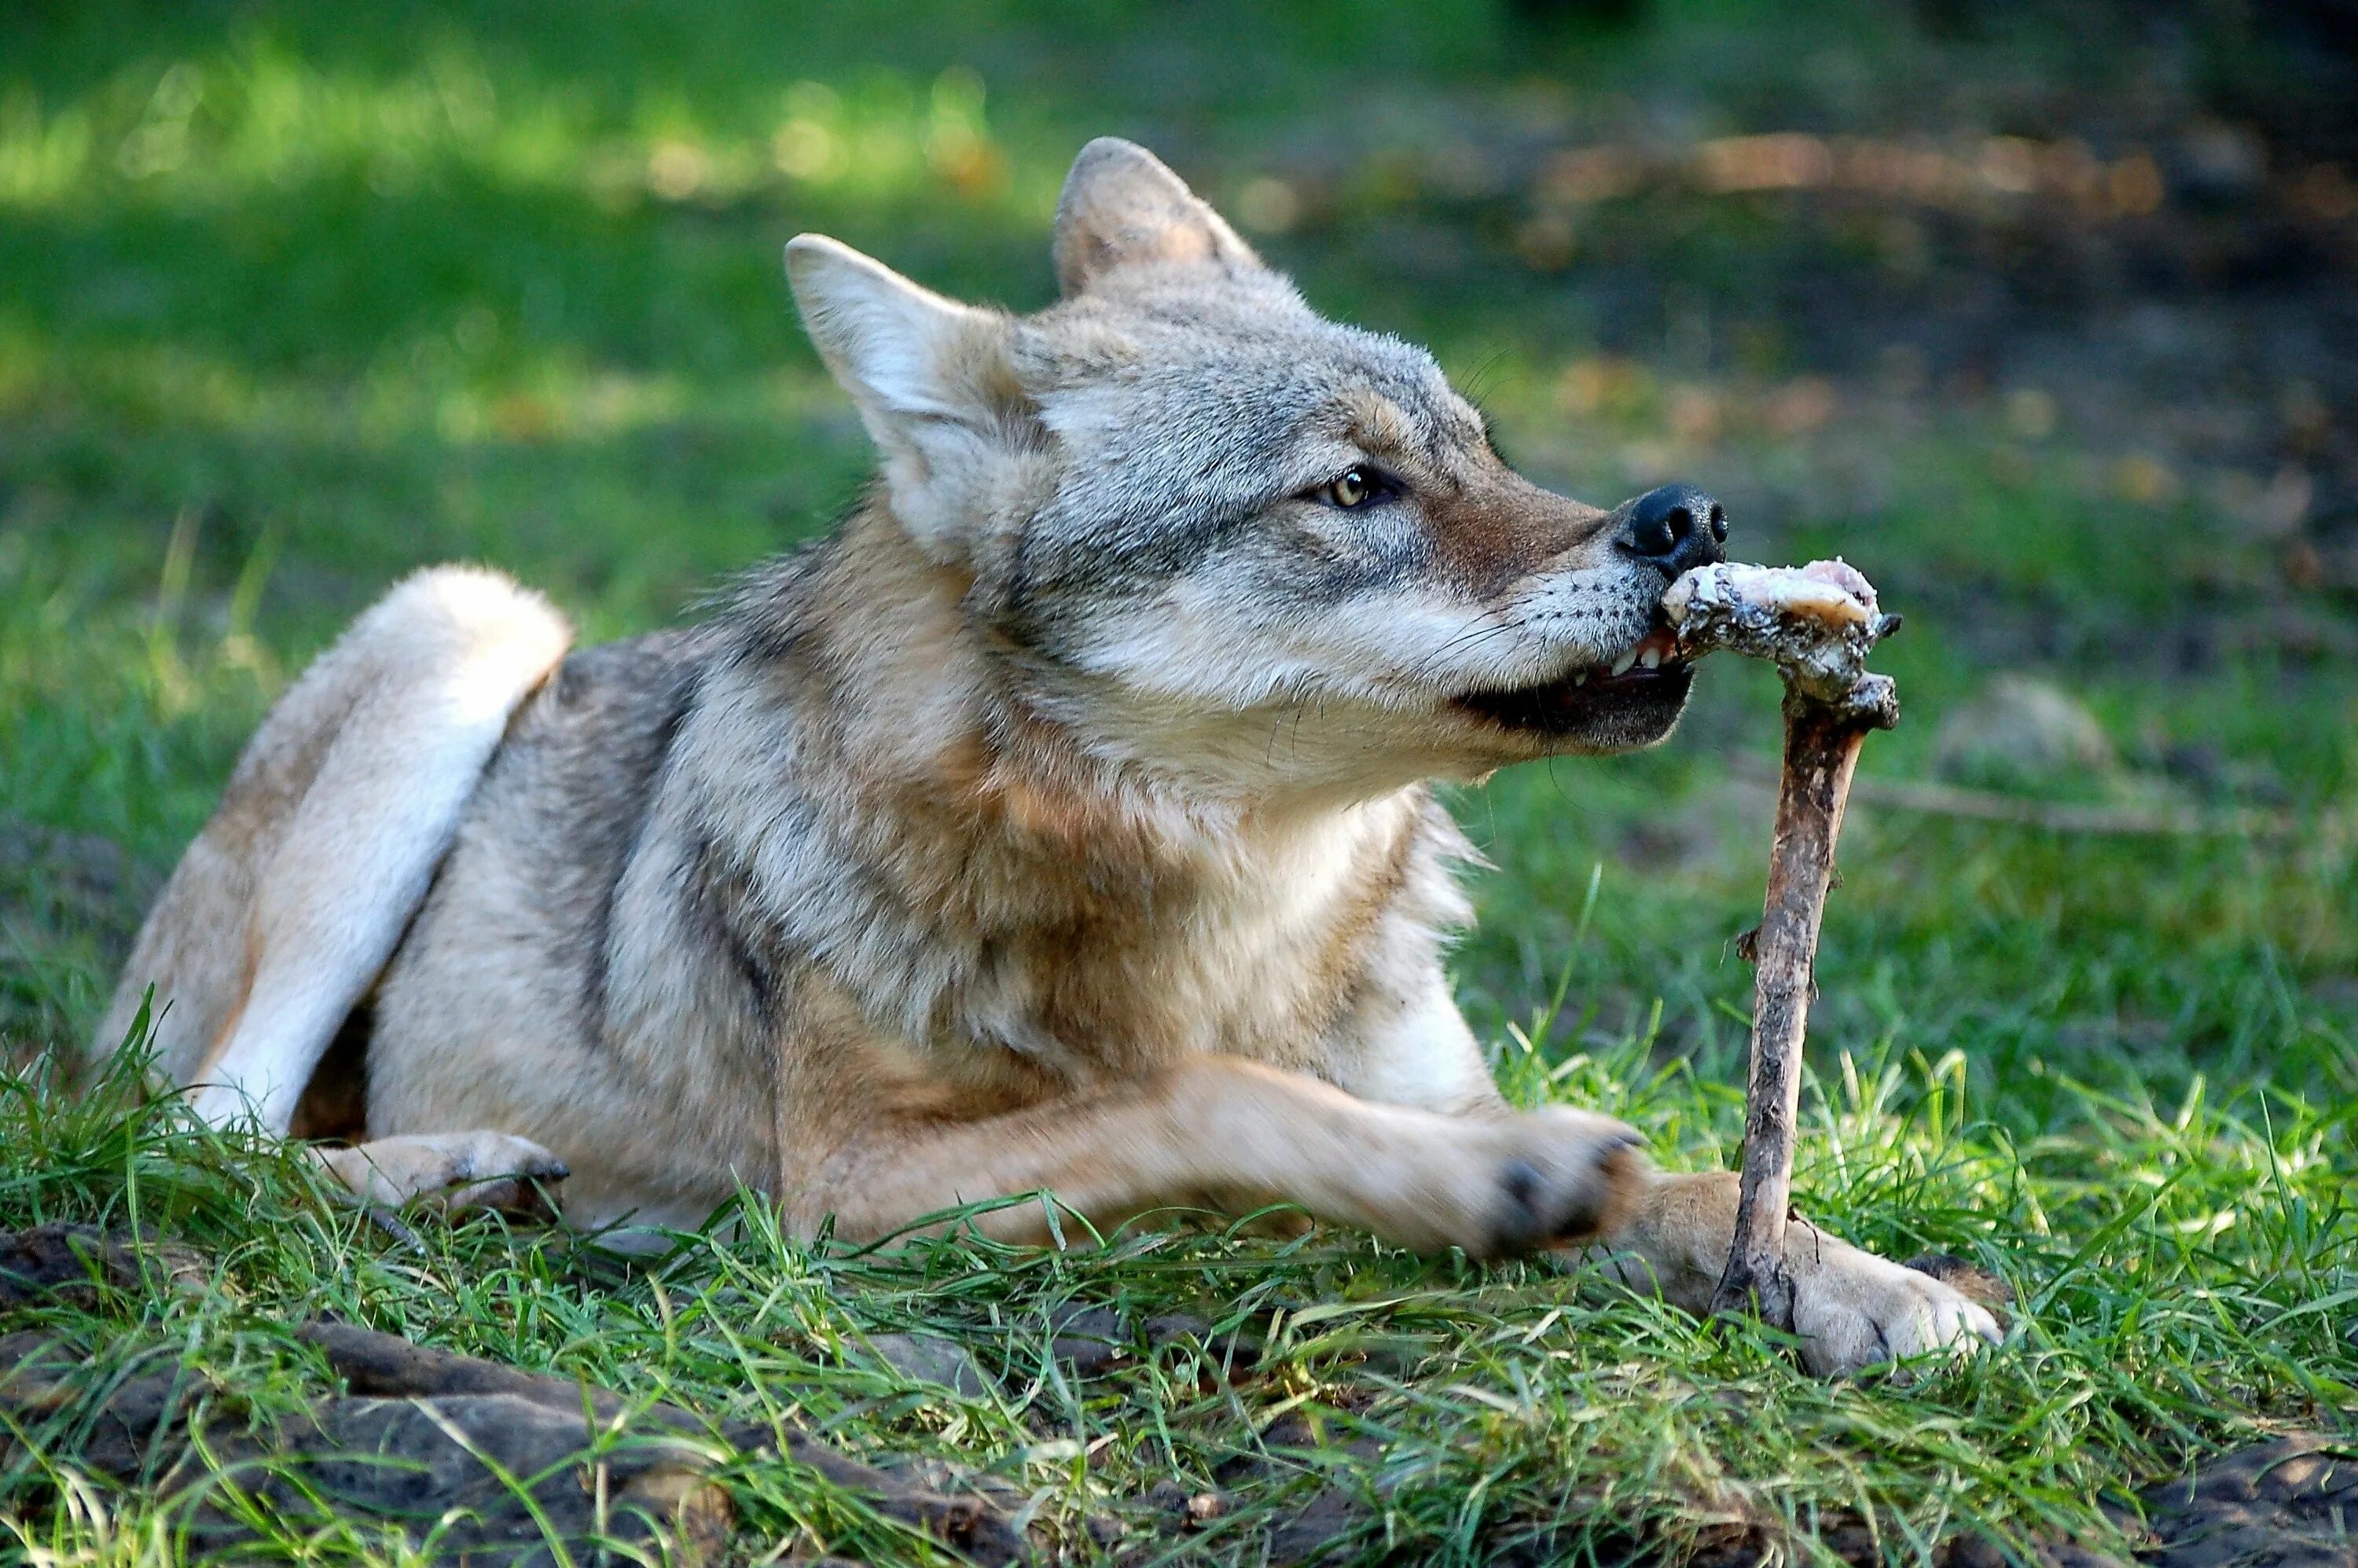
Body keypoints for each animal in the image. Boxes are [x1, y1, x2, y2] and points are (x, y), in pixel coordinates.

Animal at [101, 144, 2000, 1368]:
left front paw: (1860, 1277)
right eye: (1349, 491)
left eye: (1481, 447)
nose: (1690, 519)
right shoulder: (844, 1193)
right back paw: (457, 1179)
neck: (1232, 898)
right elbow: (1213, 1097)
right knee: (195, 1134)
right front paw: (1494, 1185)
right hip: (469, 623)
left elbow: (1695, 1179)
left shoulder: (1425, 1067)